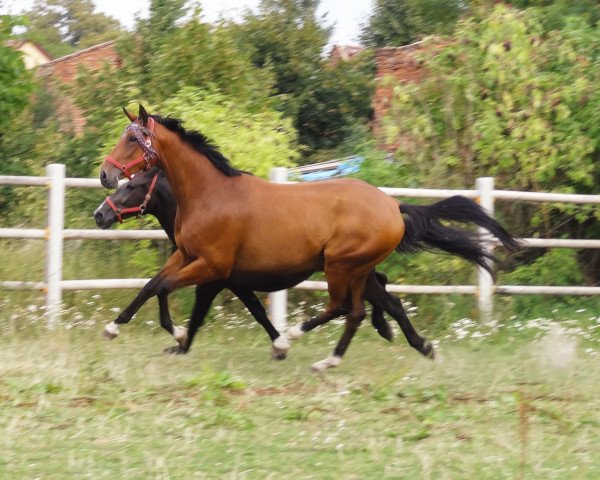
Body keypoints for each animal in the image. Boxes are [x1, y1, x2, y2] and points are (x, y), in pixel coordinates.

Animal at [99, 107, 520, 372]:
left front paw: (178, 336)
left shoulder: (214, 269)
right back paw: (409, 348)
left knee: (345, 309)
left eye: (133, 141)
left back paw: (299, 342)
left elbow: (172, 293)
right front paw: (118, 328)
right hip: (358, 270)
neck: (209, 194)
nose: (105, 176)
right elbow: (152, 285)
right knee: (371, 307)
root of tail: (391, 204)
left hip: (341, 266)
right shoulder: (190, 257)